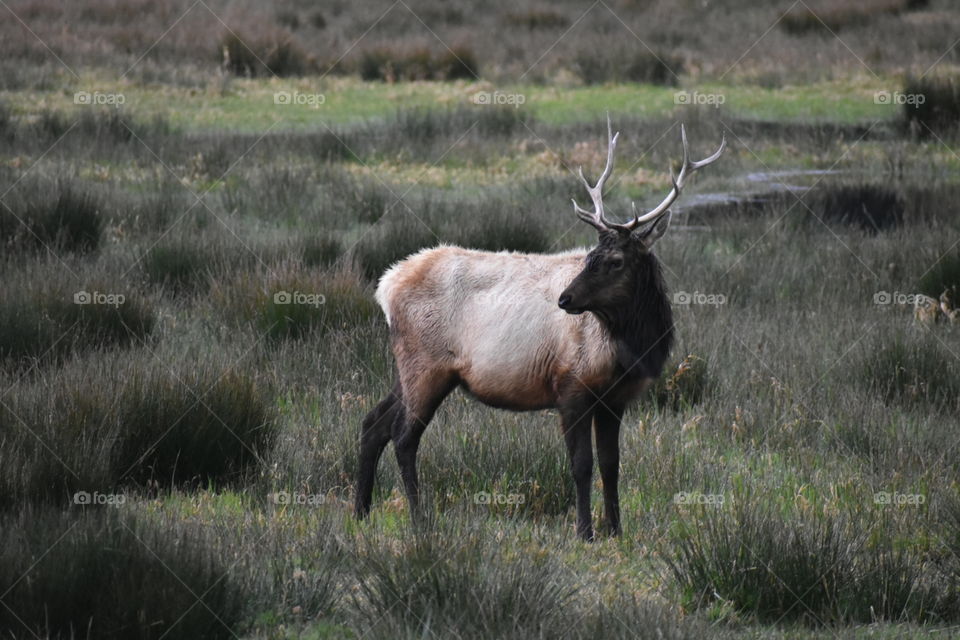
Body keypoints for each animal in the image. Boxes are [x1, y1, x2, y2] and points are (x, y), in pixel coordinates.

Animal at [354, 118, 725, 540]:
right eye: (589, 256)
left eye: (615, 260)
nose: (565, 299)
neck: (631, 349)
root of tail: (385, 286)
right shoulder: (571, 386)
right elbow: (582, 466)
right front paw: (585, 532)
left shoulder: (614, 400)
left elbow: (612, 465)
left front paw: (616, 530)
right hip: (427, 366)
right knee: (404, 437)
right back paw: (419, 520)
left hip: (410, 369)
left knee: (373, 422)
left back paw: (361, 511)